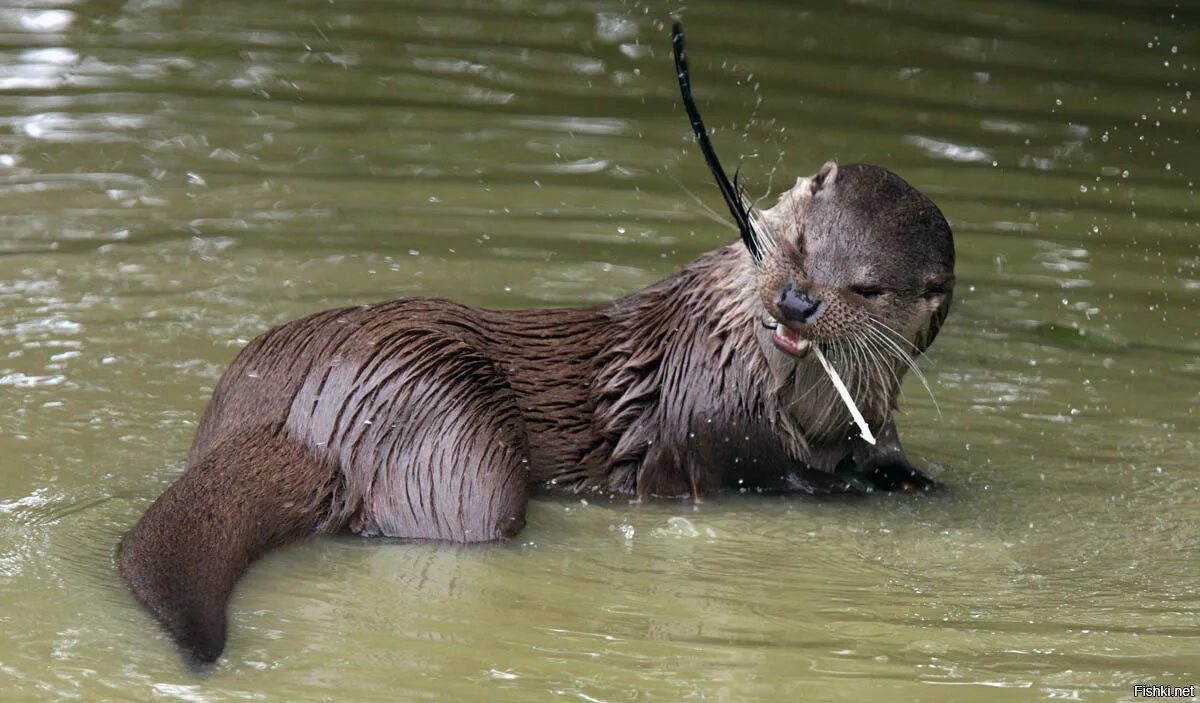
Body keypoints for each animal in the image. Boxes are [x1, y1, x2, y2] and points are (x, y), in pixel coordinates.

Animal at [114, 24, 955, 662]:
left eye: (867, 288)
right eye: (801, 241)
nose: (796, 299)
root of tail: (297, 413)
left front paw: (914, 477)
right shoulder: (716, 415)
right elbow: (770, 472)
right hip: (451, 420)